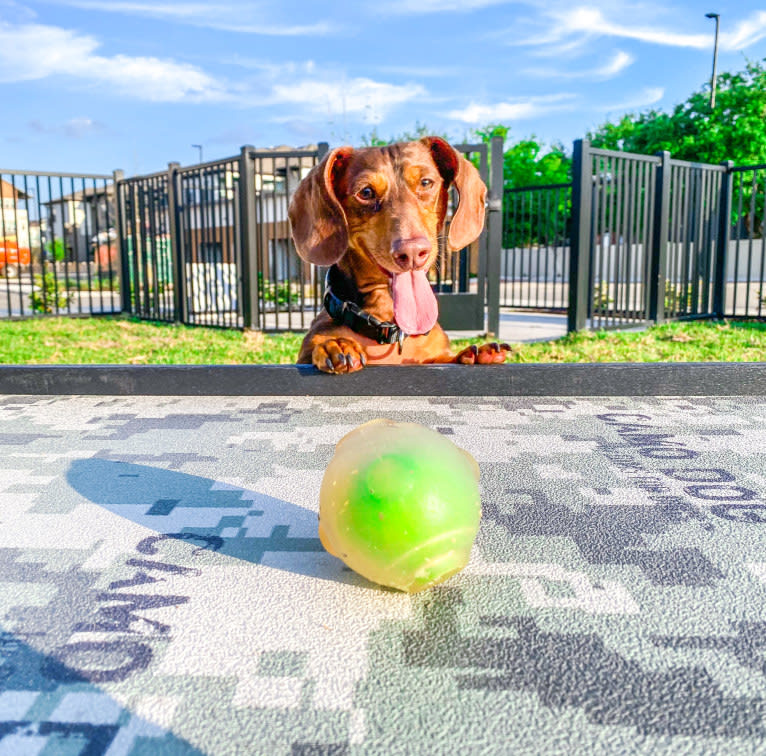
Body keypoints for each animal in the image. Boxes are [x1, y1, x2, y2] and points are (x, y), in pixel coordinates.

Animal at [288, 137, 510, 374]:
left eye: (426, 182)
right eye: (365, 192)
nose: (412, 252)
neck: (391, 331)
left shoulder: (435, 356)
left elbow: (444, 358)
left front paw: (472, 354)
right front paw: (336, 344)